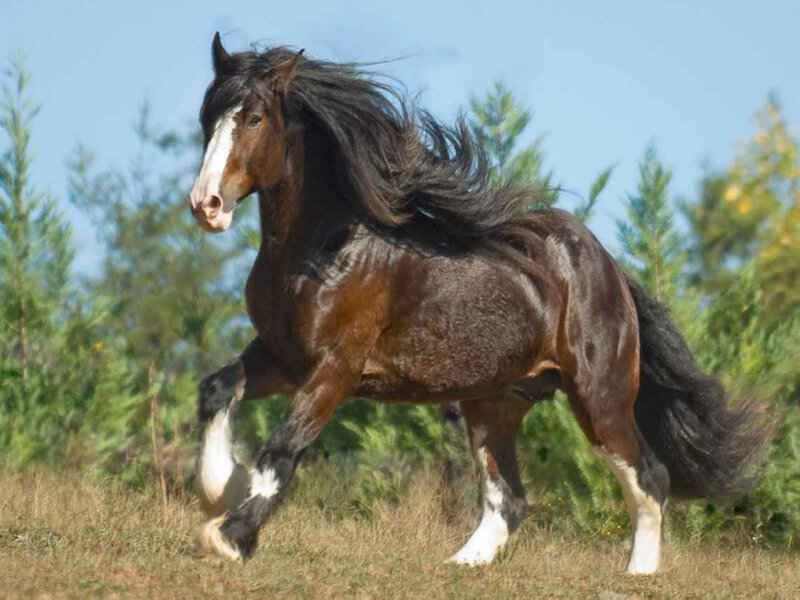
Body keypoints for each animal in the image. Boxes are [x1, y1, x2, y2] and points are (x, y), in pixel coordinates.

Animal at [187, 33, 770, 574]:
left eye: (255, 118)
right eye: (208, 116)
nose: (205, 205)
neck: (321, 248)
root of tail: (609, 269)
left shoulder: (334, 369)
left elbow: (282, 453)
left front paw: (230, 535)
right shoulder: (282, 356)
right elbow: (217, 389)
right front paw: (222, 487)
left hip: (598, 398)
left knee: (650, 476)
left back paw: (638, 573)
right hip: (495, 403)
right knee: (508, 499)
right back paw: (461, 564)